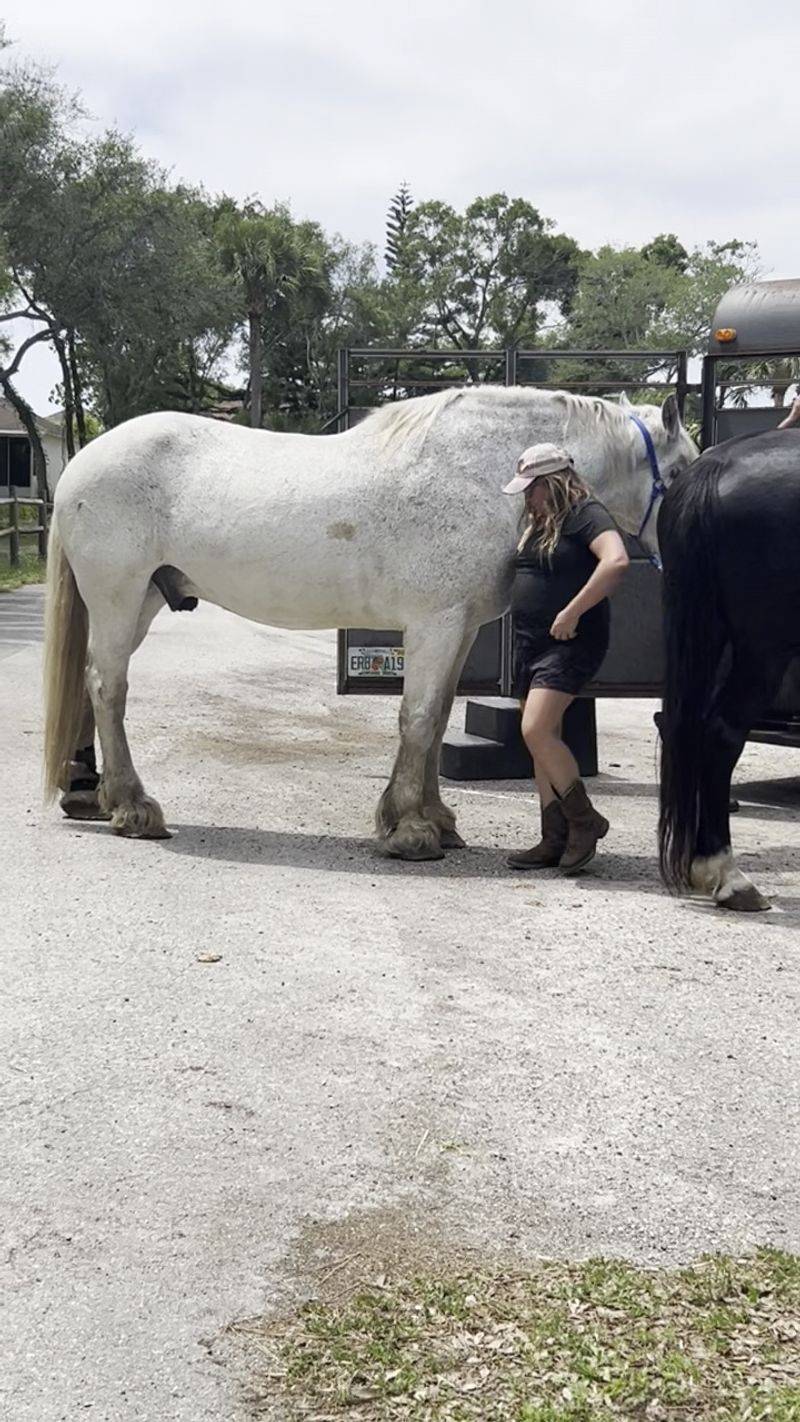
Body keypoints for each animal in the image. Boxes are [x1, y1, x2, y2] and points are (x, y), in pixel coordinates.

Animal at [43, 384, 696, 861]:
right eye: (682, 473)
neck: (485, 476)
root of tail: (80, 463)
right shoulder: (435, 624)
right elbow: (419, 717)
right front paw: (410, 831)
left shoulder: (458, 629)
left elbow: (436, 722)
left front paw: (436, 820)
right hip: (119, 597)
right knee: (107, 686)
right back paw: (133, 808)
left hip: (142, 600)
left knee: (93, 685)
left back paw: (96, 797)